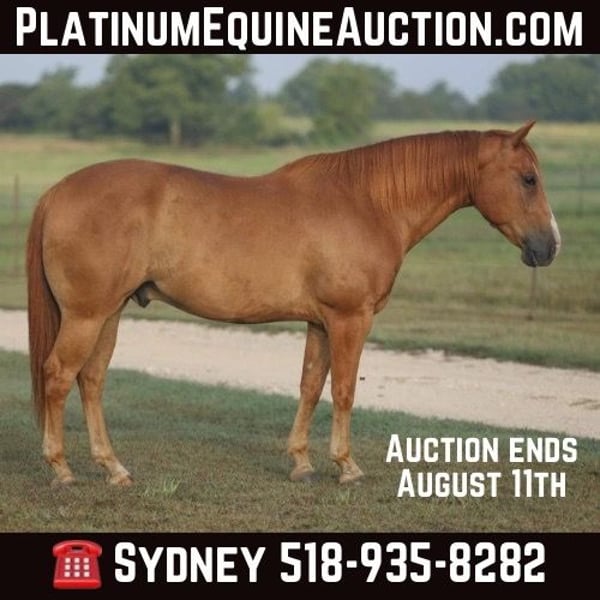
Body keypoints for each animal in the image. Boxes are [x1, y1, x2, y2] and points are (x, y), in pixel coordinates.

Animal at [26, 121, 560, 486]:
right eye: (528, 179)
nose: (550, 246)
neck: (368, 202)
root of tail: (57, 192)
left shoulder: (321, 323)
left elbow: (310, 385)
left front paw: (302, 462)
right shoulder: (350, 319)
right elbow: (343, 390)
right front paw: (346, 466)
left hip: (109, 313)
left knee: (91, 380)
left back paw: (113, 468)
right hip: (87, 316)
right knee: (58, 375)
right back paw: (61, 469)